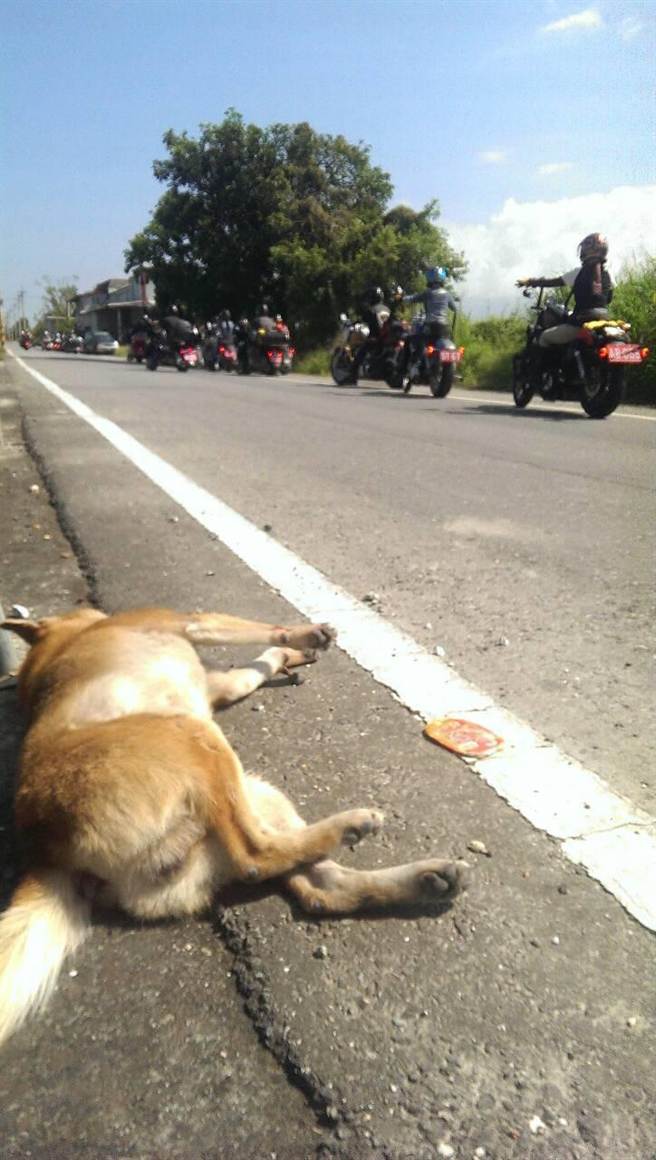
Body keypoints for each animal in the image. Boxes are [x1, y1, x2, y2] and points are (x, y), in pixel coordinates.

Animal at [1, 607, 472, 1044]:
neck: (64, 642)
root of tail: (47, 850)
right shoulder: (189, 621)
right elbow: (261, 630)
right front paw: (304, 636)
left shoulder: (221, 685)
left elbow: (252, 668)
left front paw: (290, 656)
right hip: (198, 741)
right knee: (256, 856)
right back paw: (353, 827)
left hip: (251, 793)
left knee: (315, 885)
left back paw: (428, 879)